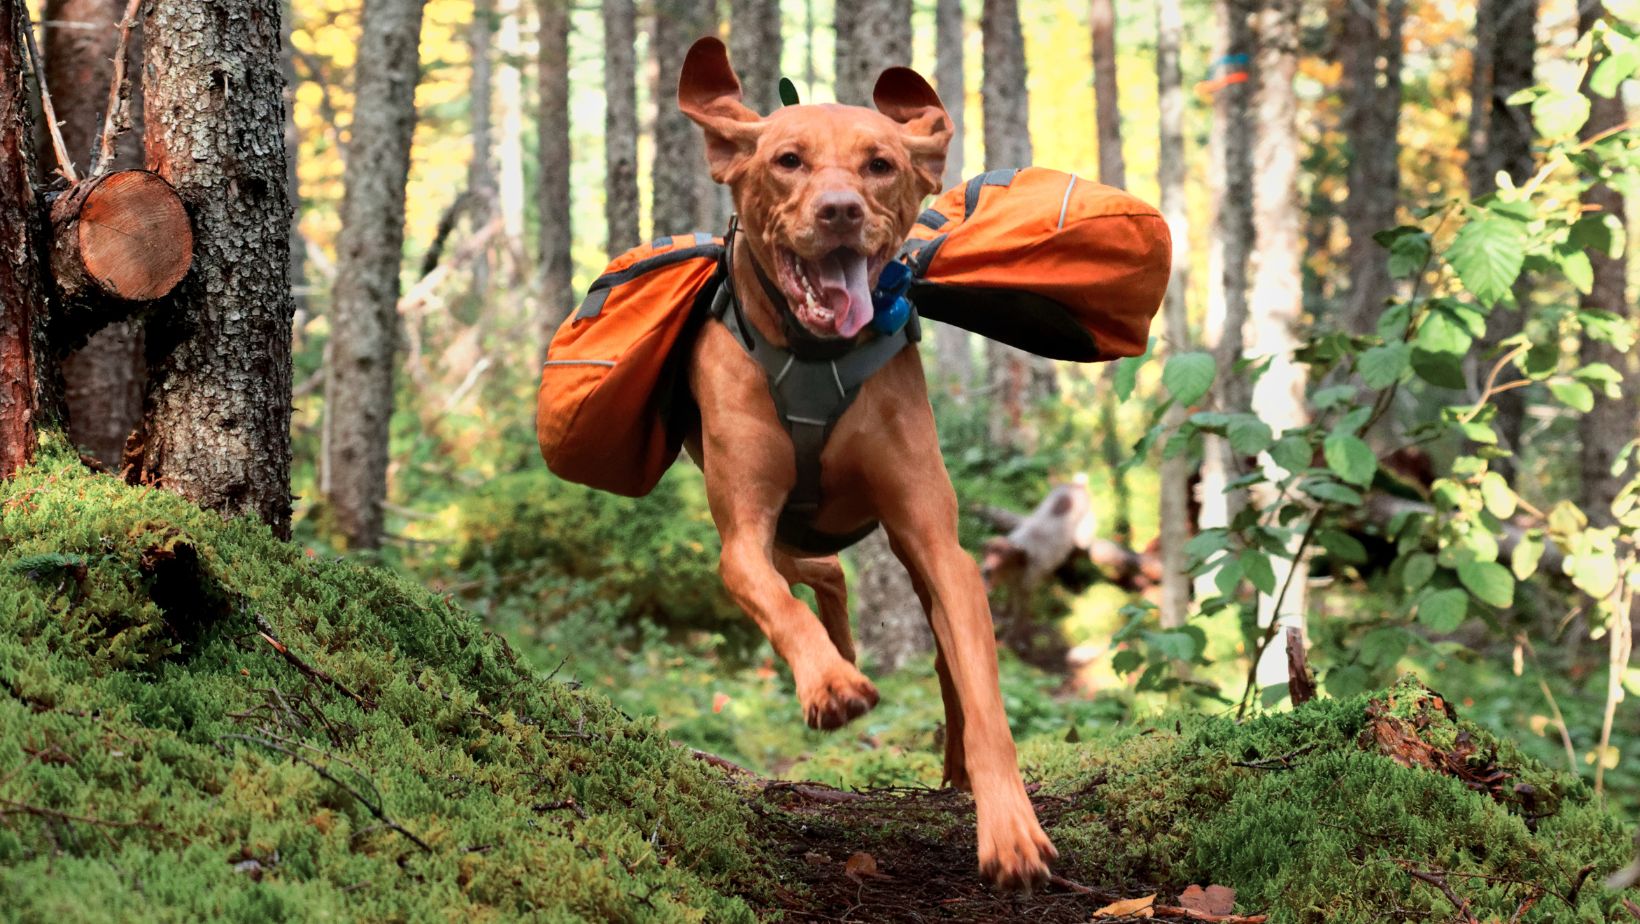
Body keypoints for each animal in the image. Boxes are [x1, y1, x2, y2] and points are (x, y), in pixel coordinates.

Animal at [678, 39, 1062, 892]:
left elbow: (983, 694)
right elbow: (771, 597)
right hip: (774, 526)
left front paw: (1010, 827)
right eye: (787, 160)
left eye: (880, 165)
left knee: (933, 649)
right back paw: (839, 658)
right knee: (815, 573)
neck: (815, 353)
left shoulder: (937, 541)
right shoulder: (741, 534)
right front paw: (830, 686)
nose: (840, 211)